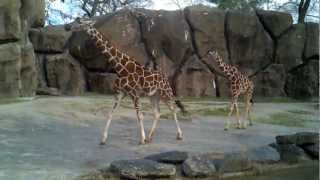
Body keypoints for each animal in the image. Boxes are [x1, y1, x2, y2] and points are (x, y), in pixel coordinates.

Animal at [64, 17, 186, 145]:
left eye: (79, 22)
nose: (67, 27)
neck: (121, 67)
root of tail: (165, 78)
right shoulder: (120, 93)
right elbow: (110, 113)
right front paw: (103, 139)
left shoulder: (134, 93)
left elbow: (139, 115)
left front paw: (141, 139)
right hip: (153, 96)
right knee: (157, 113)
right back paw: (150, 137)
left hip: (165, 93)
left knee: (173, 109)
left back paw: (179, 135)